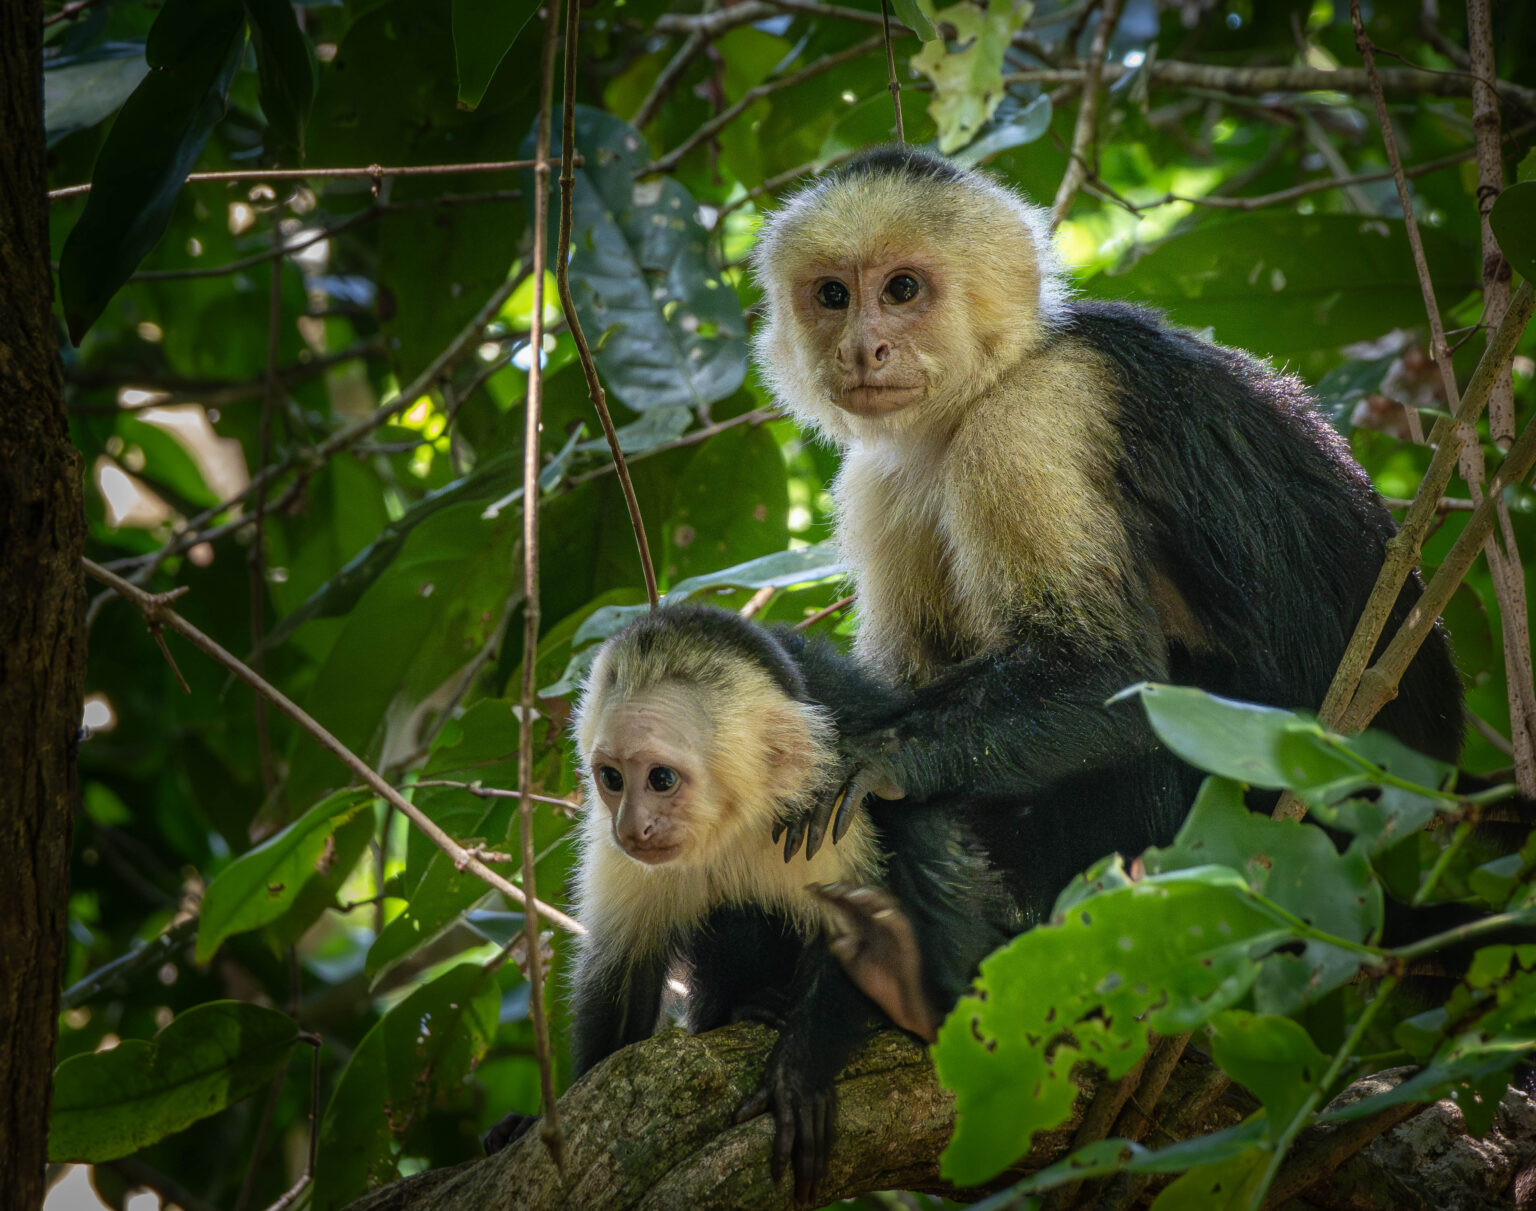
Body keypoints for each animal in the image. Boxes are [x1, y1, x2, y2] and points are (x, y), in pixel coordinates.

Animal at [481, 603, 1020, 1205]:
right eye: (612, 778)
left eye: (661, 779)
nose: (633, 828)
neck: (735, 816)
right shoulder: (616, 848)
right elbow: (622, 978)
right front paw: (543, 1122)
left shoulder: (828, 796)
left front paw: (798, 1075)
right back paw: (749, 1008)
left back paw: (904, 988)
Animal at [749, 145, 1465, 877]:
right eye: (833, 296)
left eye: (901, 289)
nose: (862, 350)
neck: (987, 383)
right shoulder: (877, 480)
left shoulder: (1029, 421)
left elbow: (1110, 676)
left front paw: (883, 755)